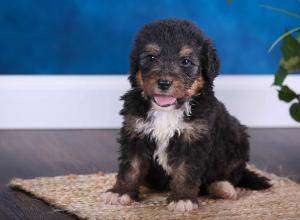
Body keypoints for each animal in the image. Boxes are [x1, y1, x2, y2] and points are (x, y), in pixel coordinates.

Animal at [102, 18, 270, 211]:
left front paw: (182, 198)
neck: (167, 111)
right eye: (151, 58)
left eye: (186, 61)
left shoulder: (192, 138)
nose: (164, 82)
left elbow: (185, 170)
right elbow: (131, 166)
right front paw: (121, 192)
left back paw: (223, 188)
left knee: (233, 174)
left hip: (237, 139)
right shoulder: (136, 132)